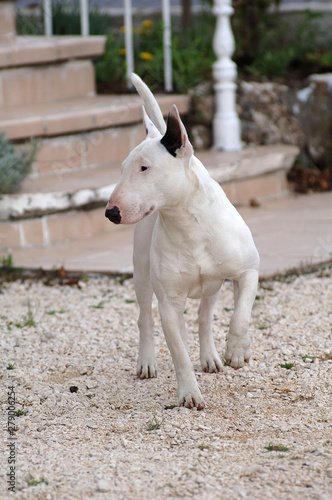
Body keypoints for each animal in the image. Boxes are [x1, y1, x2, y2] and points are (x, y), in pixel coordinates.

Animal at [105, 75, 260, 410]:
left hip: (213, 285)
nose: (111, 212)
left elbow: (240, 315)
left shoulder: (248, 271)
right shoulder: (169, 302)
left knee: (205, 316)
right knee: (145, 318)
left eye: (144, 167)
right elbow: (178, 353)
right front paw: (189, 393)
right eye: (122, 167)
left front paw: (237, 351)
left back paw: (211, 356)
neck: (188, 223)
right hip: (141, 274)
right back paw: (147, 361)